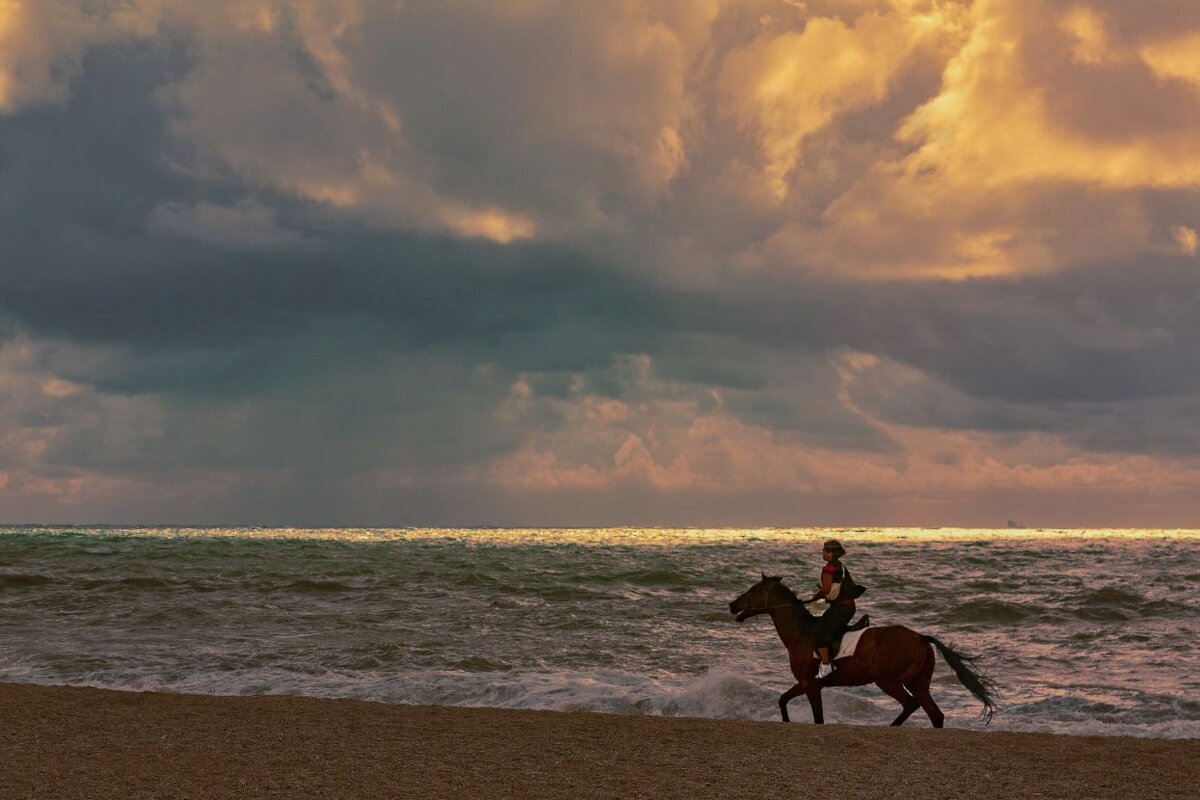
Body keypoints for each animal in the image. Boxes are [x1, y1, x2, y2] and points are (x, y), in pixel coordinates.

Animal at [724, 573, 998, 729]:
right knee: (935, 715)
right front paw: (786, 721)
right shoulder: (807, 682)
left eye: (754, 590)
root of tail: (921, 637)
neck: (801, 633)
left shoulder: (810, 684)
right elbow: (782, 699)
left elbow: (817, 717)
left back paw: (892, 726)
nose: (732, 605)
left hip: (888, 681)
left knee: (910, 705)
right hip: (918, 684)